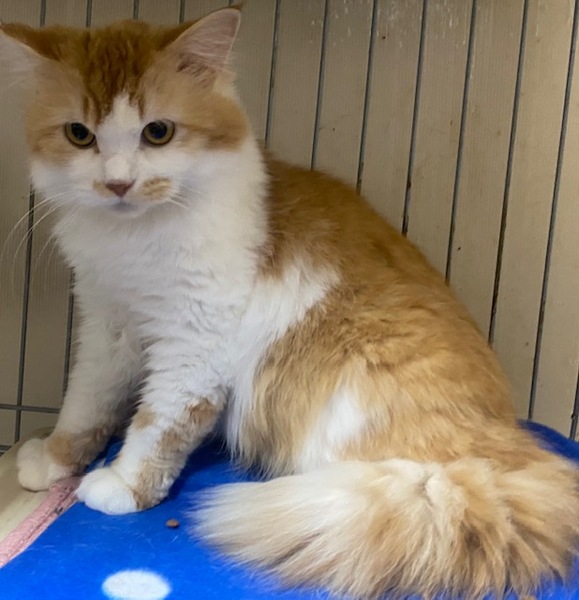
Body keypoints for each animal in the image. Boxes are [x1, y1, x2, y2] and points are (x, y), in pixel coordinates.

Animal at [1, 7, 578, 600]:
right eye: (80, 135)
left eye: (157, 132)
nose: (117, 183)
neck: (130, 243)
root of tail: (504, 457)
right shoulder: (107, 324)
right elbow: (85, 403)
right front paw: (53, 459)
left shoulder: (196, 338)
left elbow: (158, 423)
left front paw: (121, 485)